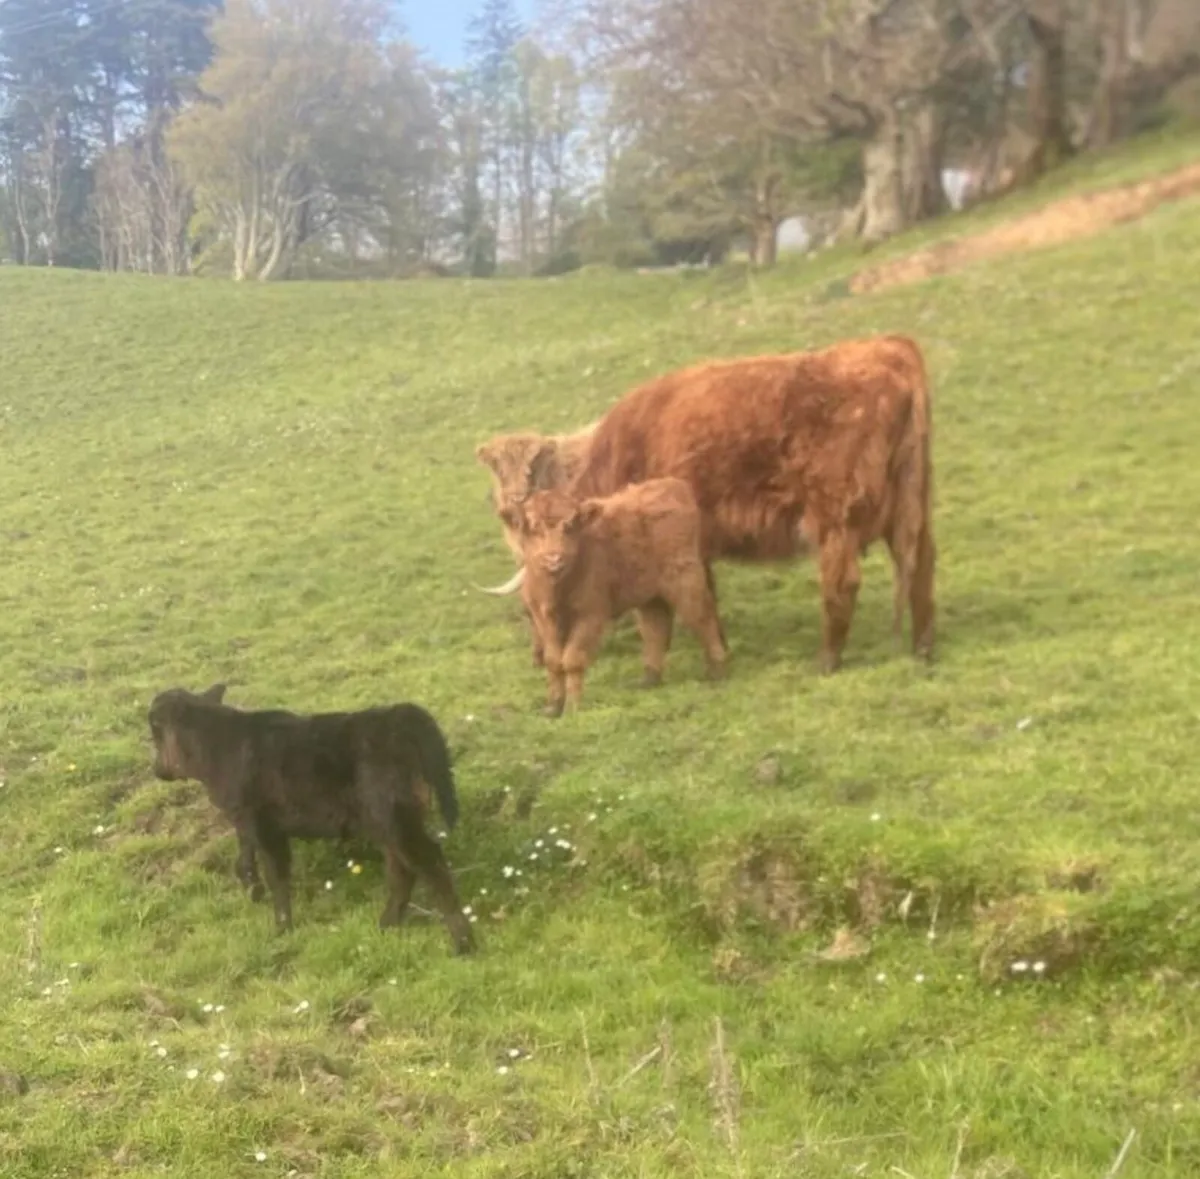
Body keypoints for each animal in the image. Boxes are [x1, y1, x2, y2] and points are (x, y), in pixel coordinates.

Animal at [147, 683, 476, 955]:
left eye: (155, 732)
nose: (157, 770)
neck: (218, 746)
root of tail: (399, 716)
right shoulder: (244, 819)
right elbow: (244, 857)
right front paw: (252, 888)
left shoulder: (265, 826)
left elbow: (276, 875)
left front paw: (282, 928)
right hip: (385, 825)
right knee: (402, 871)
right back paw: (386, 925)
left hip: (396, 820)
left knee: (430, 863)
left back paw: (463, 942)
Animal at [483, 335, 935, 674]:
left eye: (535, 609)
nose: (540, 658)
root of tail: (890, 347)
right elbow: (703, 597)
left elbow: (683, 603)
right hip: (914, 505)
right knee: (921, 569)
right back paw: (923, 647)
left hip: (836, 516)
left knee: (843, 583)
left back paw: (827, 660)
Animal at [515, 478, 728, 716]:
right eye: (535, 527)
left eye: (569, 526)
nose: (554, 559)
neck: (558, 587)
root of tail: (671, 485)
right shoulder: (544, 618)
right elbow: (553, 660)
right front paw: (552, 706)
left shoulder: (590, 616)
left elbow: (572, 659)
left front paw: (572, 707)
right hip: (650, 596)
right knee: (656, 628)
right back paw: (649, 678)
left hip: (685, 581)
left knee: (703, 618)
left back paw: (717, 670)